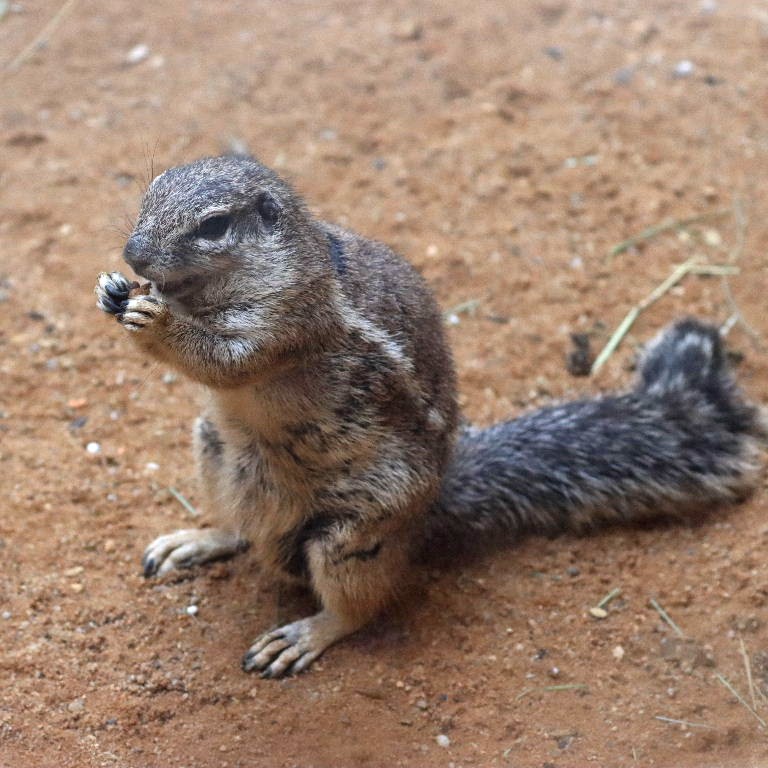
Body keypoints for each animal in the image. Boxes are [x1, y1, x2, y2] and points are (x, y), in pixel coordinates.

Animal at [95, 154, 766, 678]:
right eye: (148, 195)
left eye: (213, 226)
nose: (133, 253)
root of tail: (435, 503)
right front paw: (113, 288)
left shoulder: (290, 321)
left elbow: (226, 362)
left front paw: (155, 319)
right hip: (216, 446)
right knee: (241, 527)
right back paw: (197, 539)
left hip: (353, 535)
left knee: (358, 607)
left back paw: (305, 635)